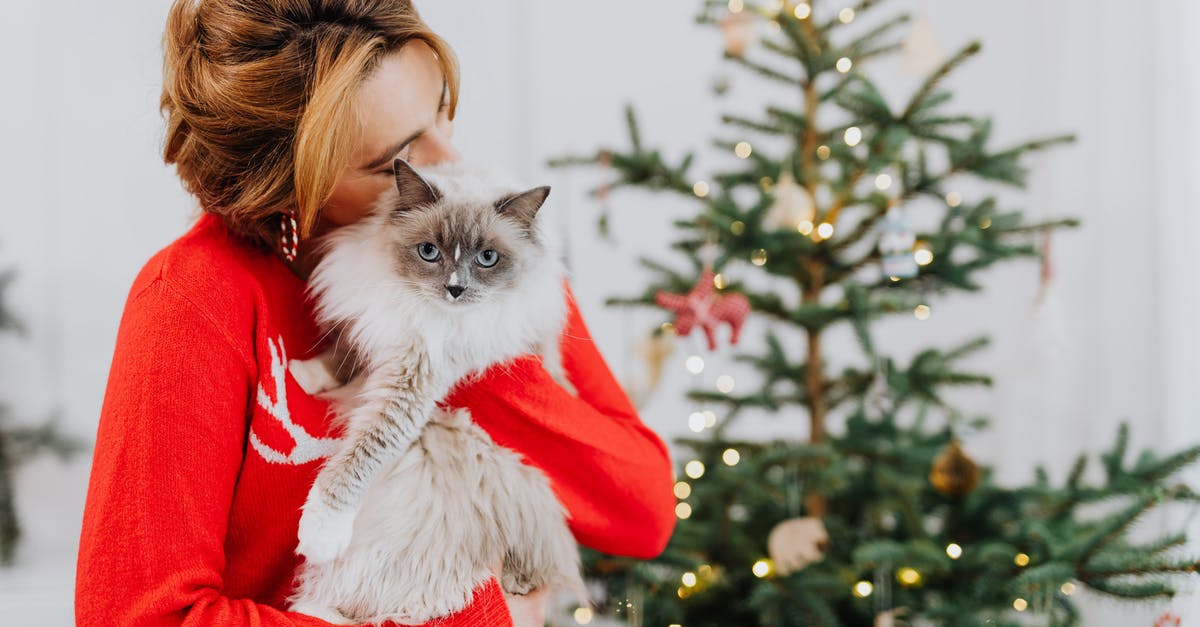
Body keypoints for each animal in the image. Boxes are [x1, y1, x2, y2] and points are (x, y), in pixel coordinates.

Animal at [291, 159, 590, 619]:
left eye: (487, 258)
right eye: (429, 251)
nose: (455, 288)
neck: (419, 309)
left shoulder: (412, 382)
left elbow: (360, 458)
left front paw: (319, 534)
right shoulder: (380, 326)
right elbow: (341, 356)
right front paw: (304, 374)